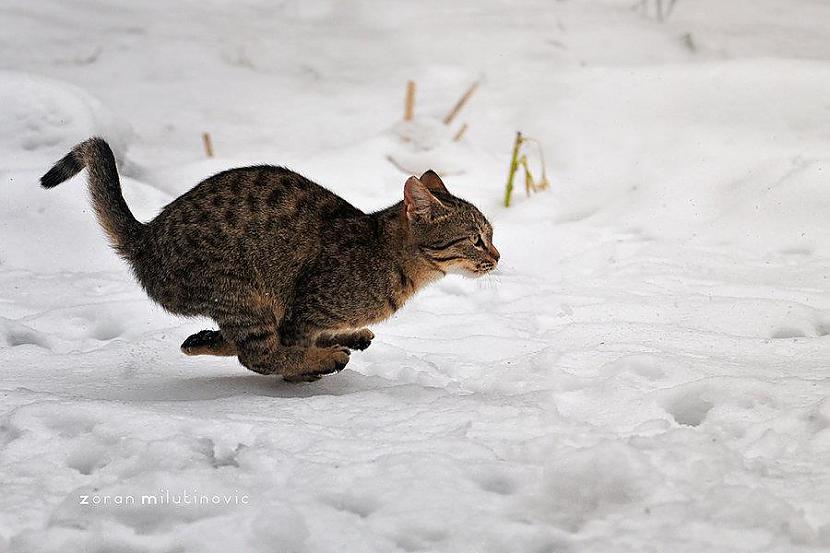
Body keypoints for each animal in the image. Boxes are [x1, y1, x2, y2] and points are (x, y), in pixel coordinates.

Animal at [42, 137, 500, 380]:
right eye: (476, 239)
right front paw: (313, 362)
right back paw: (325, 357)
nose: (497, 255)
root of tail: (146, 236)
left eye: (491, 235)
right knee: (257, 354)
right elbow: (289, 346)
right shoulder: (306, 304)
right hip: (242, 289)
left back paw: (203, 340)